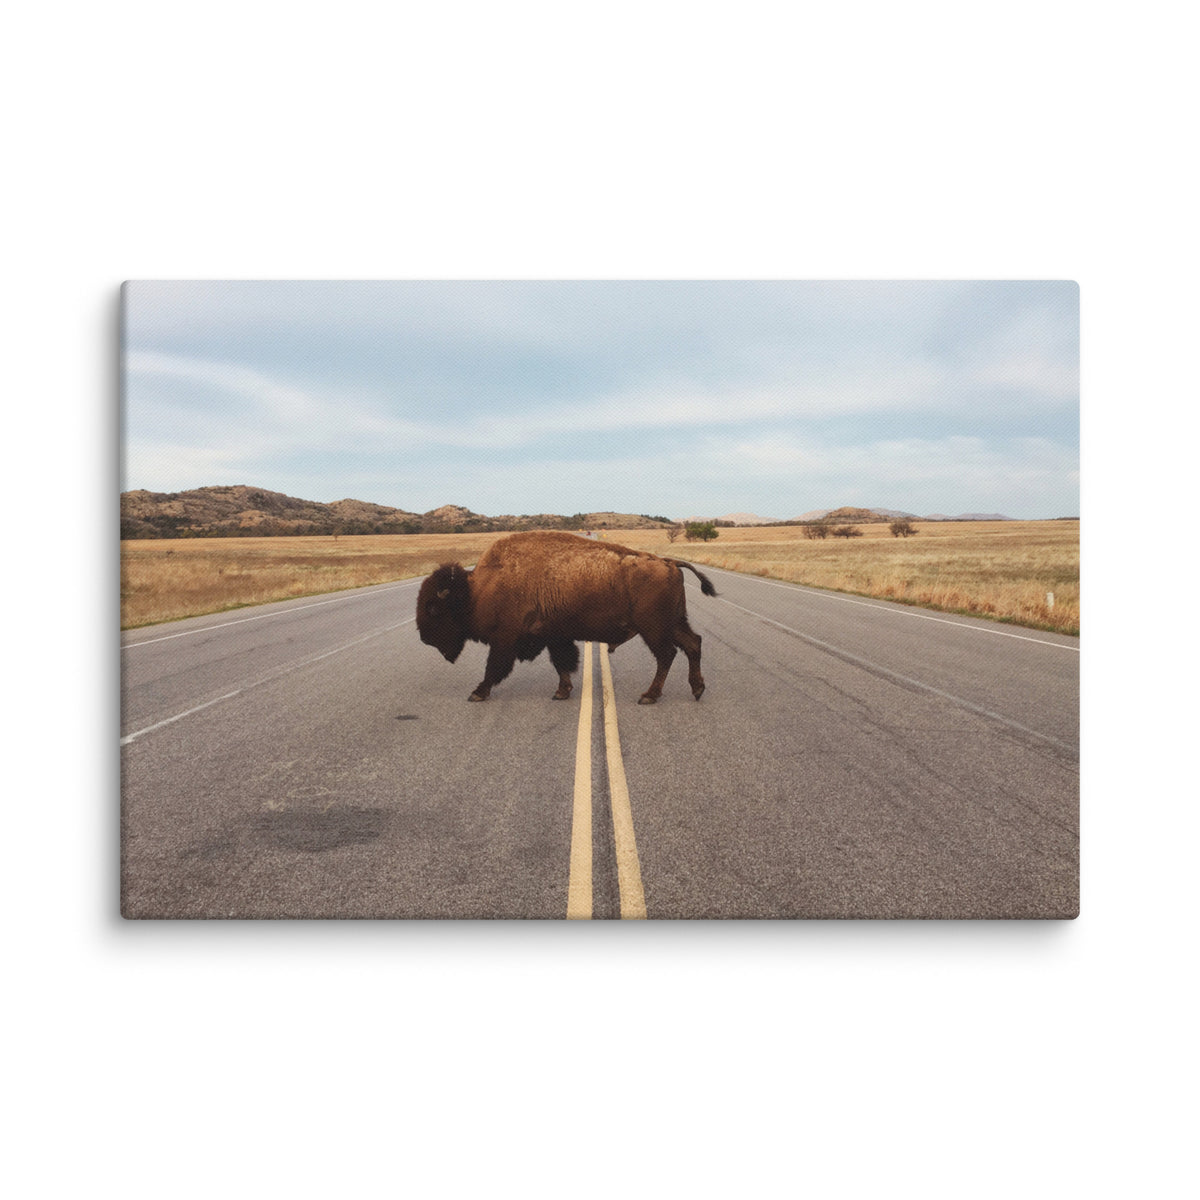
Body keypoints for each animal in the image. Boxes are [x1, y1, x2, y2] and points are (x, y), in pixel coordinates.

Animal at [415, 530, 717, 704]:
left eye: (433, 608)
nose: (424, 638)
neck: (477, 589)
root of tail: (669, 562)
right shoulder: (553, 636)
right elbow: (561, 663)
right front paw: (562, 692)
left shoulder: (505, 639)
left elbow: (494, 668)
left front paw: (477, 693)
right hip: (673, 623)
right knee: (693, 644)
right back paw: (697, 689)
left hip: (653, 629)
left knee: (667, 655)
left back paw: (649, 696)